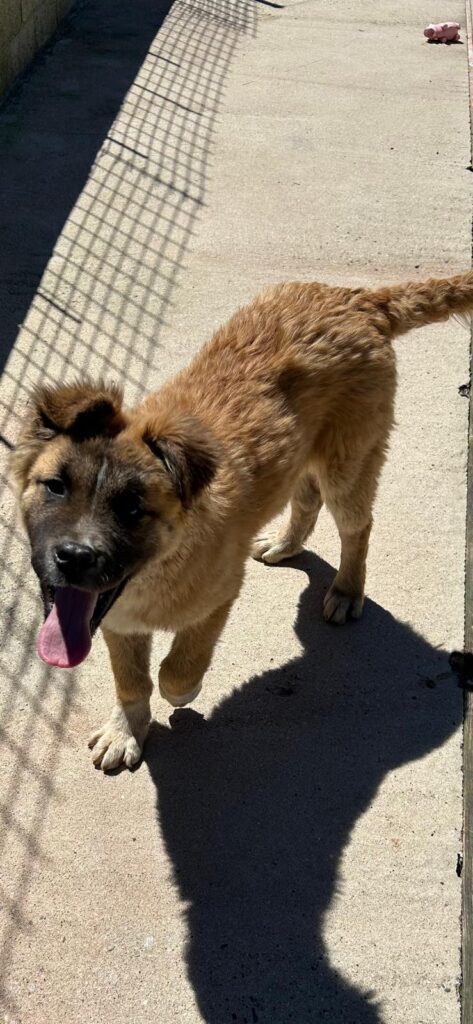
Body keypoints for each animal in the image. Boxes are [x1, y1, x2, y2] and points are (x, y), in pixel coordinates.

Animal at [12, 272, 473, 769]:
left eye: (132, 508)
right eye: (56, 486)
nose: (75, 558)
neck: (160, 566)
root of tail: (358, 299)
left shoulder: (220, 596)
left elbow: (176, 671)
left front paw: (181, 694)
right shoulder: (116, 619)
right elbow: (131, 681)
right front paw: (127, 729)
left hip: (347, 465)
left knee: (357, 527)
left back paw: (348, 590)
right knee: (306, 499)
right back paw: (286, 544)